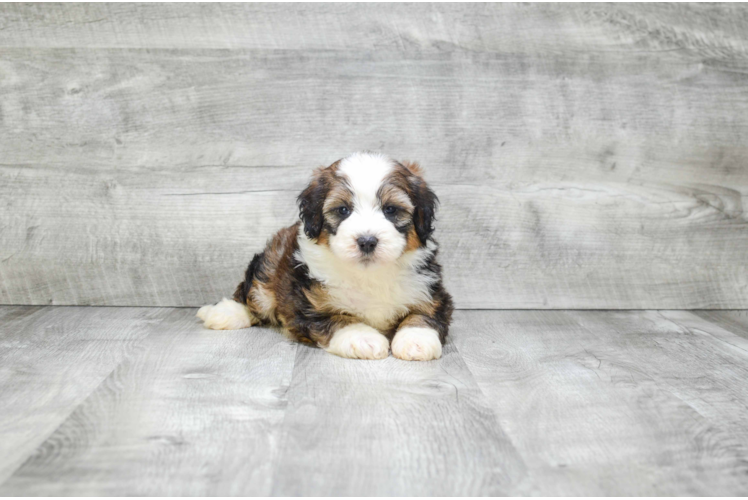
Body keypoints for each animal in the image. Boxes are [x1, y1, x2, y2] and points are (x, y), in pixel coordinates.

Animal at [196, 150, 452, 362]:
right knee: (253, 294)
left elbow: (423, 314)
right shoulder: (308, 305)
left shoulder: (432, 293)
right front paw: (363, 339)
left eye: (390, 209)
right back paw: (223, 313)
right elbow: (339, 320)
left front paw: (416, 340)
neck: (368, 274)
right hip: (269, 264)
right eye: (343, 210)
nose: (367, 241)